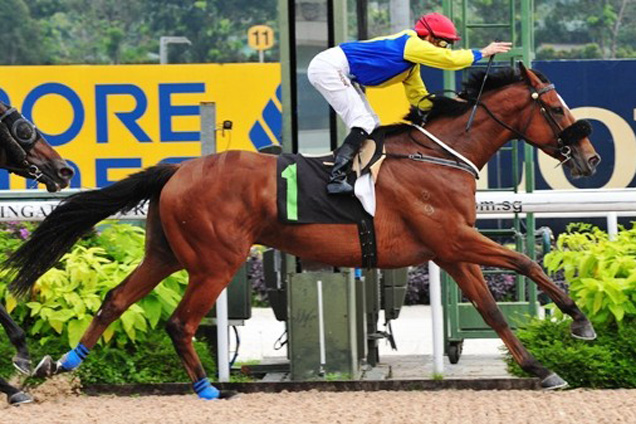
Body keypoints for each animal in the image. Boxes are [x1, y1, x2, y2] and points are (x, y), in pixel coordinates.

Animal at [4, 62, 600, 398]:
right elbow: (525, 262)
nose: (590, 158)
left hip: (166, 253)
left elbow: (493, 310)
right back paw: (206, 387)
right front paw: (579, 322)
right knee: (179, 321)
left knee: (115, 300)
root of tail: (178, 169)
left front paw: (542, 368)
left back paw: (59, 365)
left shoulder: (450, 250)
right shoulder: (453, 239)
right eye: (554, 105)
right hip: (216, 261)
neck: (438, 155)